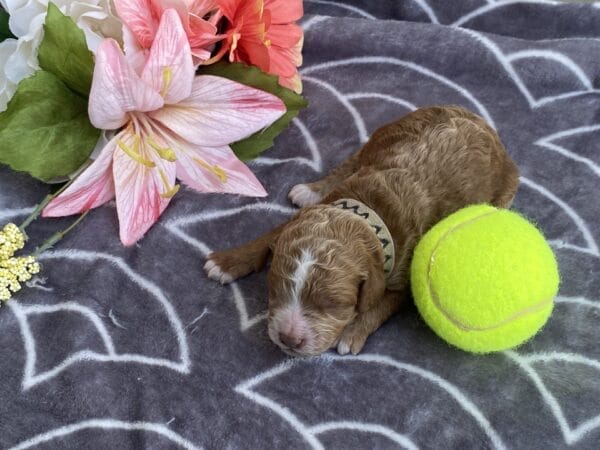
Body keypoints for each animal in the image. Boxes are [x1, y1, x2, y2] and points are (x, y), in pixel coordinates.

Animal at [204, 105, 516, 356]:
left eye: (334, 306)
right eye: (277, 288)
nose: (289, 340)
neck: (365, 211)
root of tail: (479, 119)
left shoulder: (407, 276)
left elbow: (380, 304)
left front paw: (351, 333)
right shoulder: (312, 215)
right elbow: (270, 234)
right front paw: (227, 262)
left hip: (504, 190)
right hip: (383, 135)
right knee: (351, 161)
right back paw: (311, 189)